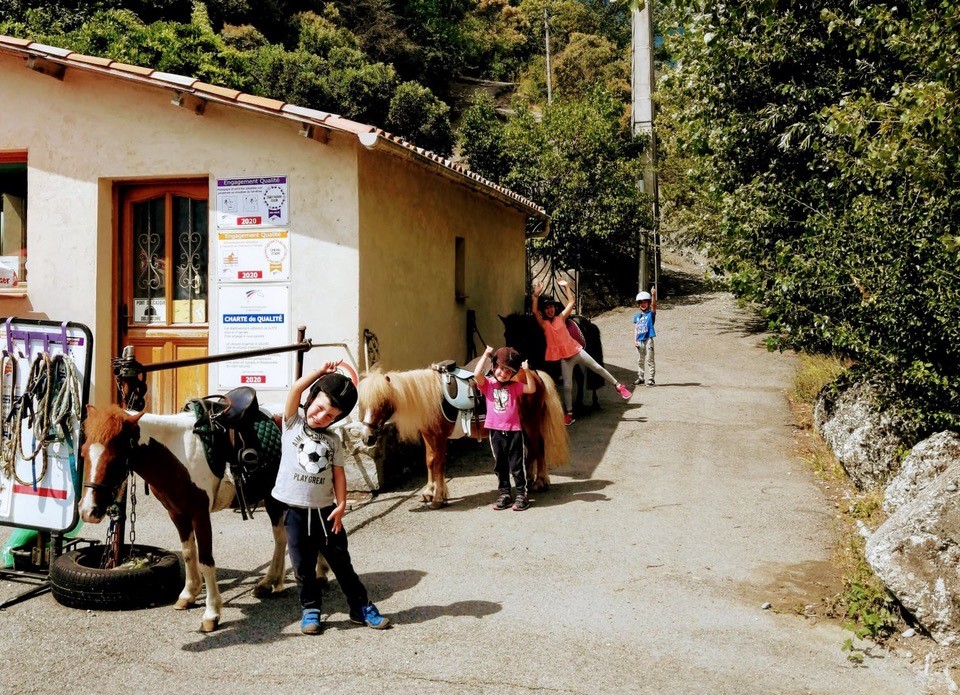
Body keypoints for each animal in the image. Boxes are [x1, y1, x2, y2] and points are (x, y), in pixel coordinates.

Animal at [78, 406, 288, 632]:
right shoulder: (177, 513)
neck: (179, 454)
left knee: (282, 539)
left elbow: (205, 560)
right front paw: (188, 595)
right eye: (83, 452)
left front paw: (211, 613)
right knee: (282, 539)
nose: (88, 511)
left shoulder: (200, 514)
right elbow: (188, 553)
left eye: (115, 458)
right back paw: (271, 583)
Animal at [360, 368, 568, 508]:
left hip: (531, 423)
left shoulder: (440, 437)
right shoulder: (428, 436)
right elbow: (429, 461)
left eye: (383, 402)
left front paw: (438, 498)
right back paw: (531, 480)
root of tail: (534, 374)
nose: (367, 438)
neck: (430, 397)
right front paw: (428, 492)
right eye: (363, 403)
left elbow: (439, 463)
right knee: (531, 449)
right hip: (523, 426)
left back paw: (540, 481)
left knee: (538, 447)